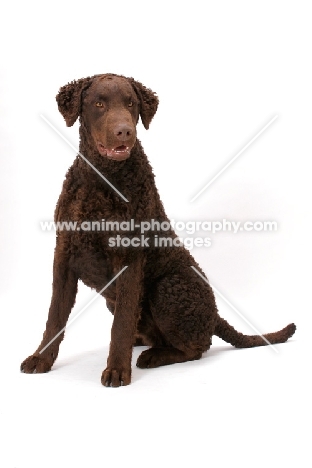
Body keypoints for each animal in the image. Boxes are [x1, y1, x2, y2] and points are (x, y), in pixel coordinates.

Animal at [20, 75, 298, 386]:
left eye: (131, 103)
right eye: (99, 104)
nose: (124, 132)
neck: (103, 180)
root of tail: (215, 315)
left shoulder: (129, 259)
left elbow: (120, 324)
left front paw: (117, 370)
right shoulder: (64, 254)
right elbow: (54, 316)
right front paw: (41, 359)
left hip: (168, 288)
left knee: (196, 347)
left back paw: (153, 356)